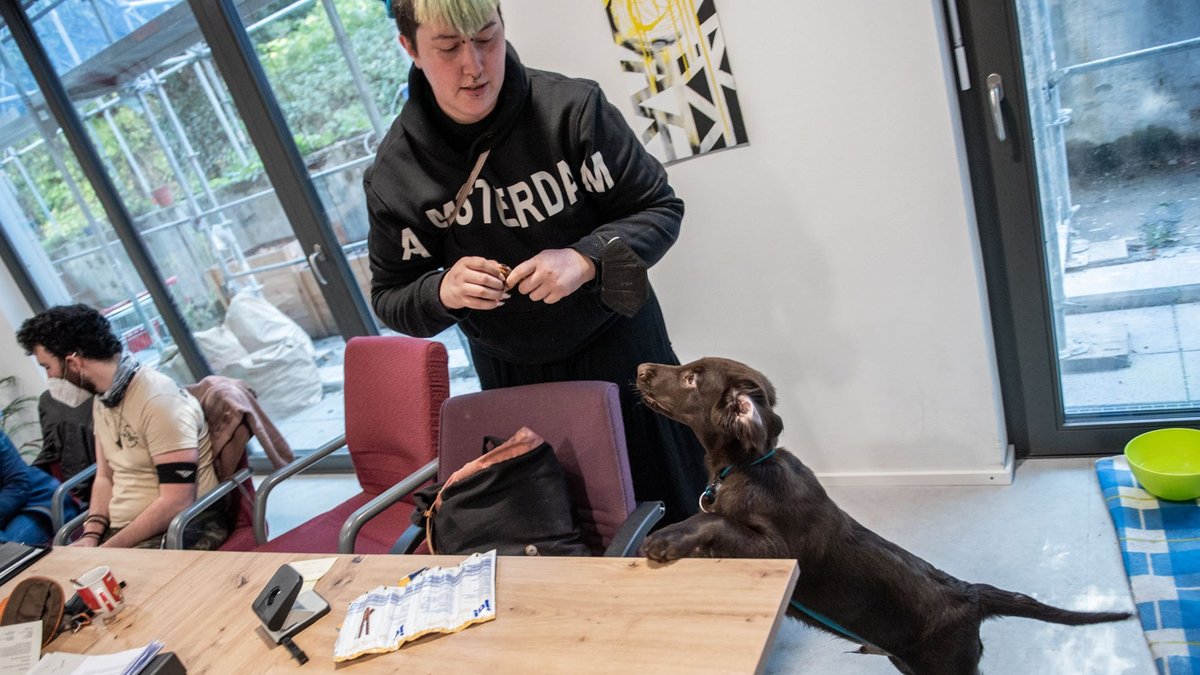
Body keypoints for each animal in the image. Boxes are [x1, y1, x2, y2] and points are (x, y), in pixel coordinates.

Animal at [638, 355, 1123, 667]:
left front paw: (666, 537)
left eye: (692, 379)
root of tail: (971, 595)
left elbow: (714, 518)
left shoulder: (780, 550)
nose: (641, 369)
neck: (750, 467)